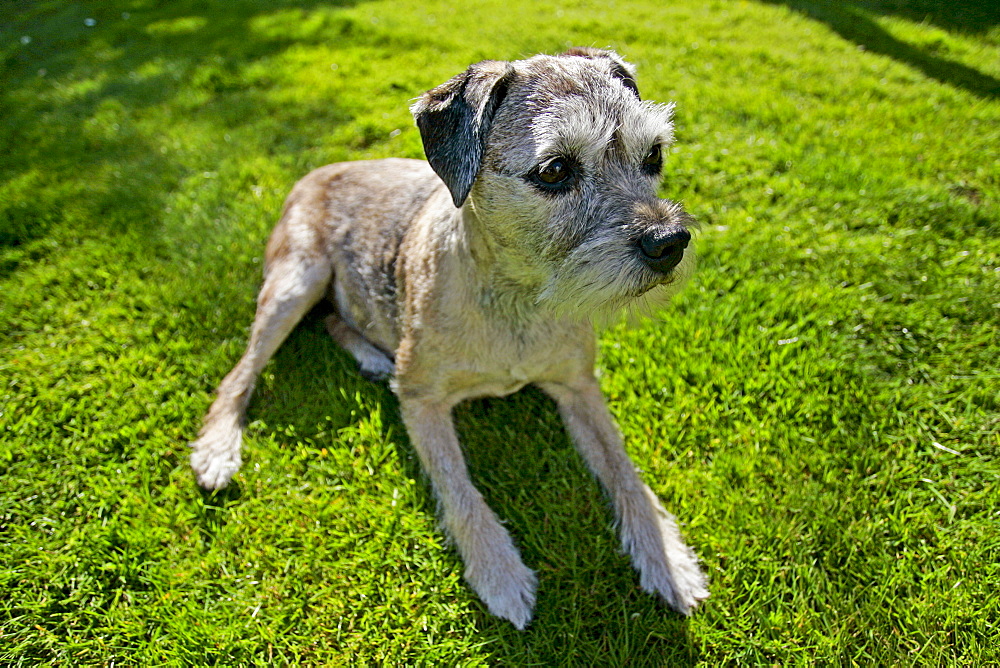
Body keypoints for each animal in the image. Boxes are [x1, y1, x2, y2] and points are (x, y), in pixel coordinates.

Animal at [191, 49, 708, 628]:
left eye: (654, 155)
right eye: (555, 170)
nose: (670, 242)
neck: (516, 299)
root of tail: (315, 170)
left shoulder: (579, 386)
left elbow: (625, 471)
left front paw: (668, 559)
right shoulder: (423, 401)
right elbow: (459, 485)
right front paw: (499, 571)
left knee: (331, 320)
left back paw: (372, 358)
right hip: (297, 279)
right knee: (242, 372)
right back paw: (217, 449)